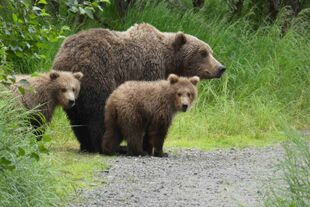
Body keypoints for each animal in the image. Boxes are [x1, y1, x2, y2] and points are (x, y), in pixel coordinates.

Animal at [51, 23, 225, 154]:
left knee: (77, 118)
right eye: (203, 53)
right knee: (99, 113)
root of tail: (66, 58)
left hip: (72, 93)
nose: (221, 68)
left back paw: (86, 145)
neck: (168, 61)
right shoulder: (148, 71)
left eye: (210, 51)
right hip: (98, 75)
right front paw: (148, 146)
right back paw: (110, 147)